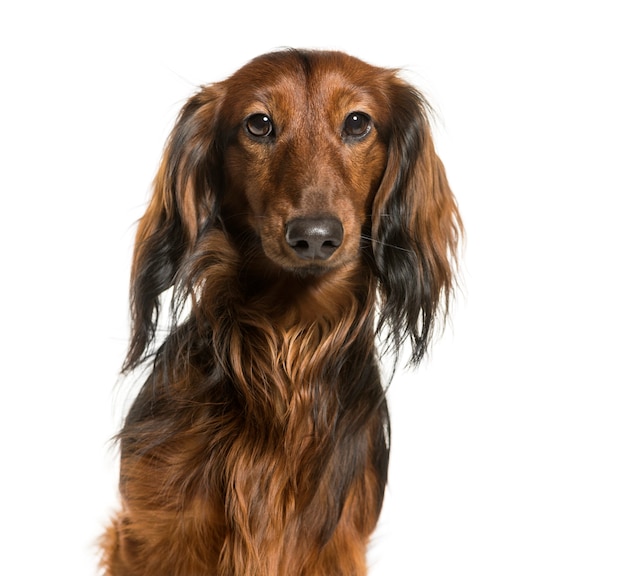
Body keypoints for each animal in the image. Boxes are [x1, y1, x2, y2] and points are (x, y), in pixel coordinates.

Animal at [101, 50, 458, 576]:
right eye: (259, 124)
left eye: (357, 123)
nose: (314, 235)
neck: (287, 338)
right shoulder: (151, 534)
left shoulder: (337, 546)